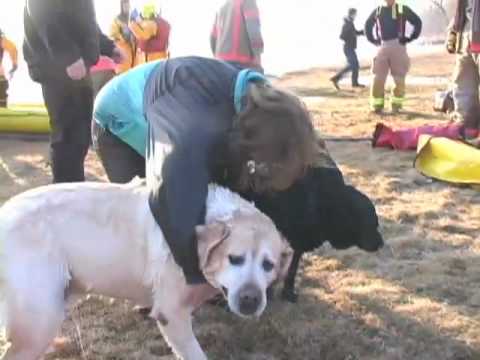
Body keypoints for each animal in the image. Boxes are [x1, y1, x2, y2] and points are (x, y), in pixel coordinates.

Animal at [242, 166, 384, 304]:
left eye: (376, 223)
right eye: (370, 224)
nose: (381, 244)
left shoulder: (301, 239)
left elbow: (293, 266)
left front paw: (287, 291)